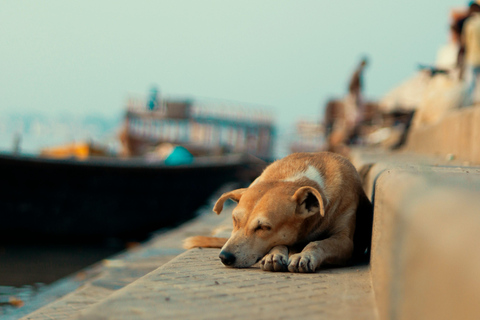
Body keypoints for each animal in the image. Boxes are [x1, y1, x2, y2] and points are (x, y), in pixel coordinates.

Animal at [182, 152, 374, 272]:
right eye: (235, 220)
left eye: (264, 227)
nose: (224, 257)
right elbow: (280, 243)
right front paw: (275, 254)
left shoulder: (345, 241)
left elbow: (319, 244)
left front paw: (305, 256)